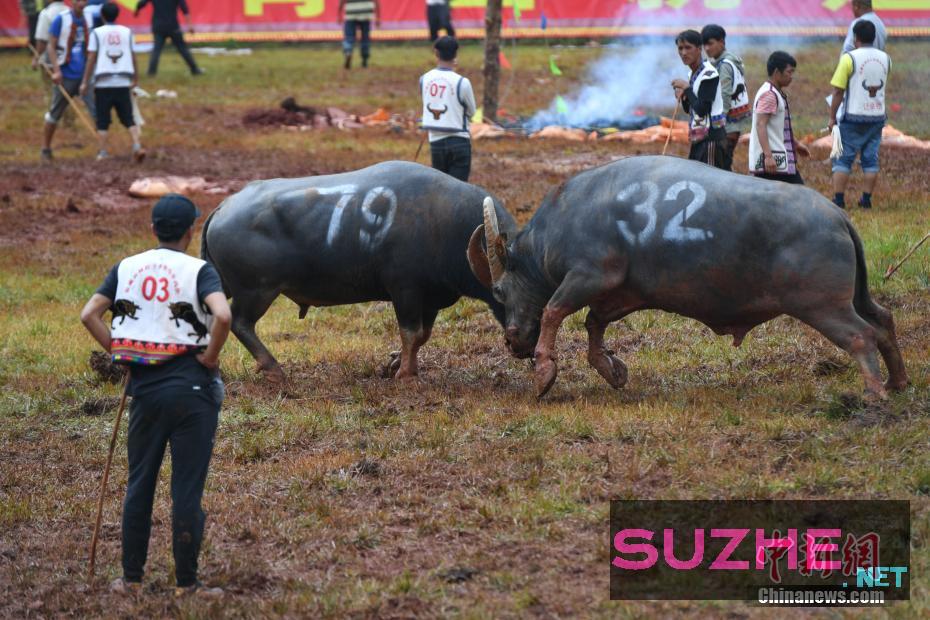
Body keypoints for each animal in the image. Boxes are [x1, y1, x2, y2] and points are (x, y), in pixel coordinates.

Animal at [202, 160, 516, 382]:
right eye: (500, 292)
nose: (519, 342)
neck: (443, 223)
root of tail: (223, 207)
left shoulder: (430, 299)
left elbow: (422, 336)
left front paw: (395, 362)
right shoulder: (405, 290)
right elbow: (411, 332)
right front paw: (406, 374)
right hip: (257, 290)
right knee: (240, 322)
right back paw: (273, 368)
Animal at [464, 157, 908, 400]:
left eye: (499, 290)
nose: (512, 342)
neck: (564, 218)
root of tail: (837, 216)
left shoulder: (589, 276)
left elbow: (555, 311)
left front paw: (544, 371)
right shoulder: (624, 292)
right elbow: (594, 324)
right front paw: (611, 369)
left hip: (823, 306)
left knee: (861, 336)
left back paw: (873, 393)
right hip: (855, 298)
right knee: (883, 321)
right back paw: (898, 381)